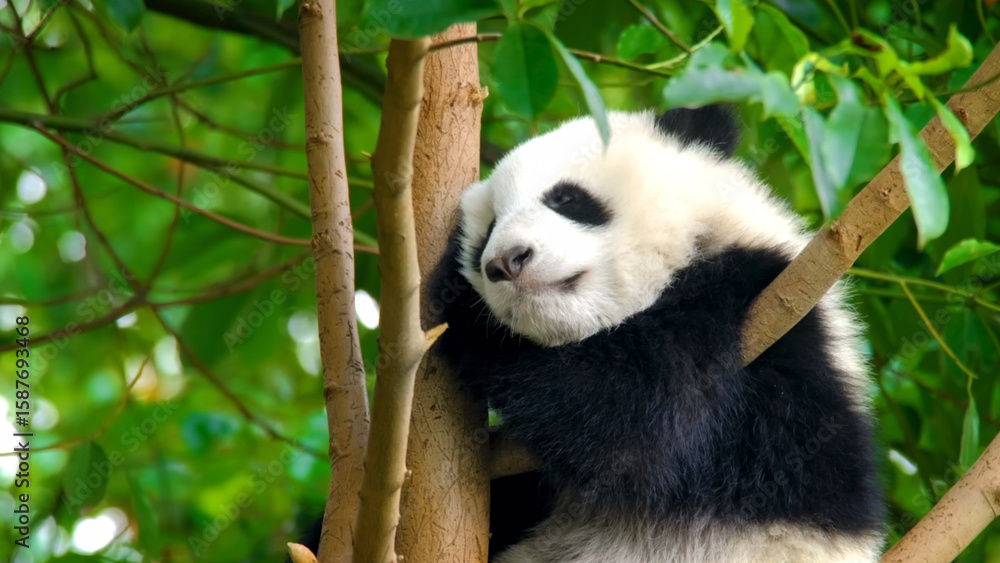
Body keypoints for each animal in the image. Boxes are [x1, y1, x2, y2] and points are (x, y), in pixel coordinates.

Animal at [425, 105, 885, 563]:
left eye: (567, 199)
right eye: (488, 230)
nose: (506, 261)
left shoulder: (751, 304)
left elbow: (636, 420)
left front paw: (454, 301)